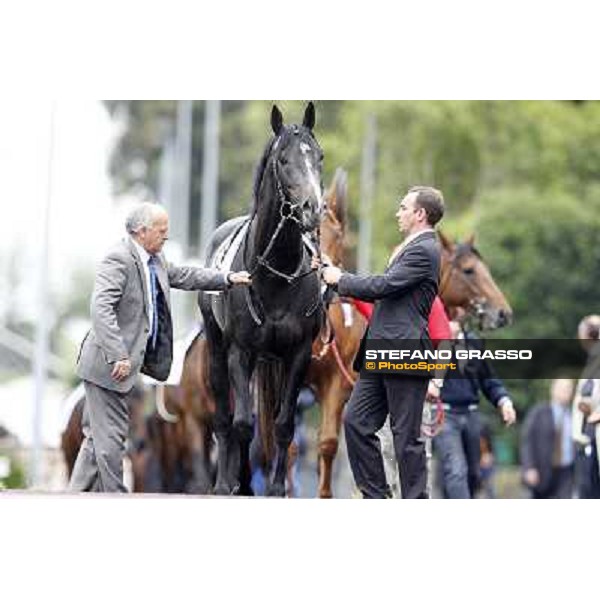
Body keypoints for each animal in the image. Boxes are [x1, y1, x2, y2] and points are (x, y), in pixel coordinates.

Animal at [199, 103, 324, 496]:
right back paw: (224, 482)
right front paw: (241, 485)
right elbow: (242, 423)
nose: (313, 208)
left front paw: (277, 488)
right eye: (283, 160)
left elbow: (283, 425)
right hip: (217, 347)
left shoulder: (298, 353)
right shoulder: (241, 351)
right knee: (225, 417)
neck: (276, 274)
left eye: (319, 157)